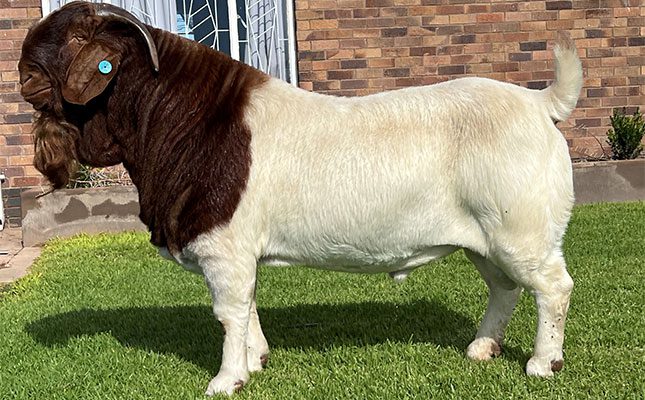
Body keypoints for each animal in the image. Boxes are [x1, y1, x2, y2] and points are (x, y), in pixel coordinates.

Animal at [19, 2, 583, 395]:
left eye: (70, 39)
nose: (22, 76)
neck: (179, 120)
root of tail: (540, 102)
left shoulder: (224, 247)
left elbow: (228, 312)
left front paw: (226, 380)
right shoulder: (240, 253)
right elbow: (247, 304)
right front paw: (256, 361)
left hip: (521, 227)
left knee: (553, 286)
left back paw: (542, 364)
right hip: (485, 237)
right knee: (504, 287)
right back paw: (482, 349)